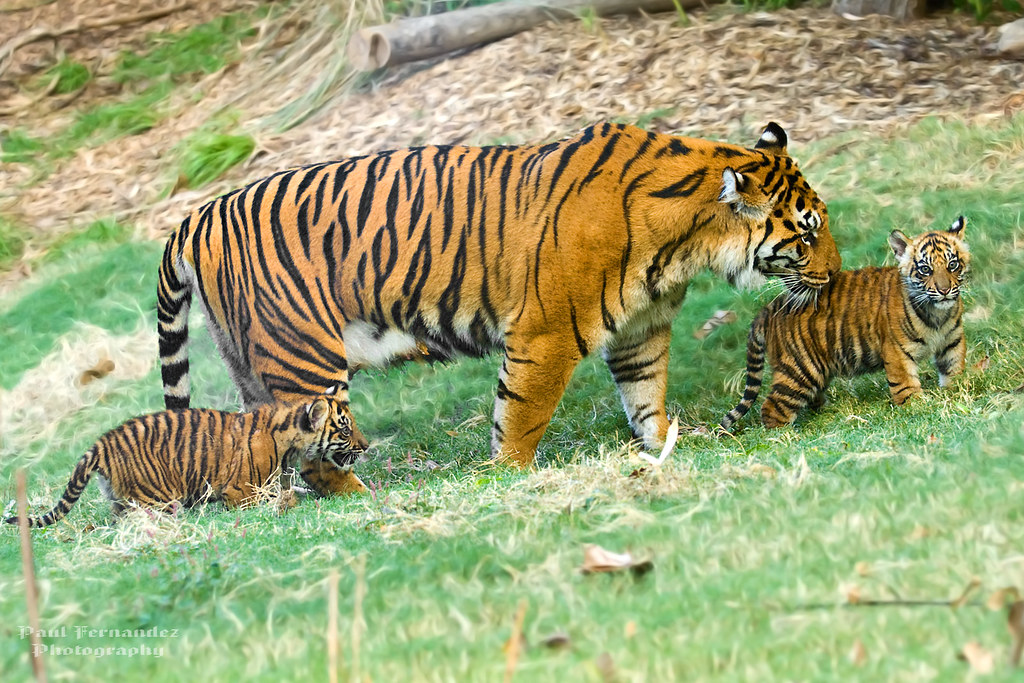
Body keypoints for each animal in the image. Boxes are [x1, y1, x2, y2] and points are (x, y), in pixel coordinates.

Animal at [5, 386, 368, 528]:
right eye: (345, 429)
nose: (366, 446)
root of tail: (101, 443)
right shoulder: (240, 492)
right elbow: (277, 500)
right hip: (157, 500)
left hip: (122, 500)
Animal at [157, 121, 841, 467]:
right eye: (807, 234)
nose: (834, 275)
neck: (687, 242)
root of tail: (197, 216)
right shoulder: (548, 333)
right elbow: (522, 414)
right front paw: (510, 475)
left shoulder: (640, 329)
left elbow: (647, 394)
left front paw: (664, 444)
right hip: (305, 357)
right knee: (314, 448)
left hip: (251, 363)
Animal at [720, 216, 969, 430]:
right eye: (925, 269)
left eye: (952, 265)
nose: (944, 290)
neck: (937, 314)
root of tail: (769, 307)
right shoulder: (897, 351)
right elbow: (905, 384)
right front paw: (918, 407)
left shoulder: (952, 341)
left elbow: (954, 369)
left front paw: (956, 390)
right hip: (799, 370)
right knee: (772, 407)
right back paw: (785, 436)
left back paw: (830, 412)